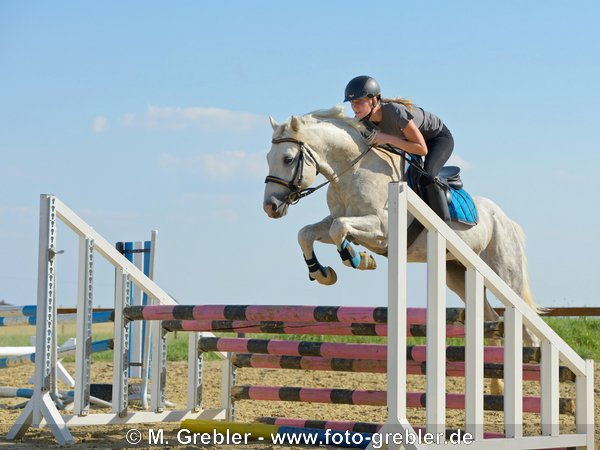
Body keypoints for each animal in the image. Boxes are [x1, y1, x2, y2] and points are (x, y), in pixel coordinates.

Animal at [262, 106, 540, 372]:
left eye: (288, 159)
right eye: (267, 158)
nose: (270, 207)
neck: (352, 171)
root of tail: (504, 218)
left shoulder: (381, 228)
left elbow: (339, 229)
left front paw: (357, 258)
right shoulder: (336, 220)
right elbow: (307, 233)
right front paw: (322, 272)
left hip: (505, 272)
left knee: (527, 327)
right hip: (457, 273)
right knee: (491, 317)